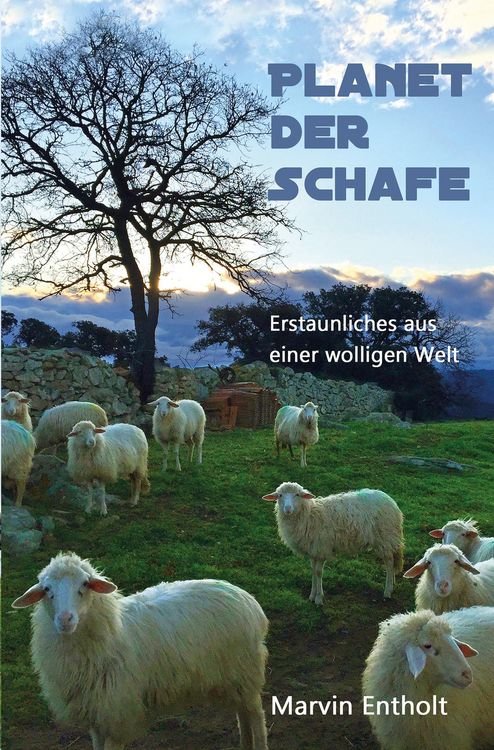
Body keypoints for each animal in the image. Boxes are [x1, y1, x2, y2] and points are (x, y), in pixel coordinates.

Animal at [12, 552, 269, 750]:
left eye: (85, 584)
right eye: (47, 589)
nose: (65, 619)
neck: (112, 634)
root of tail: (247, 598)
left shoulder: (118, 714)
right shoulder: (96, 714)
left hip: (246, 671)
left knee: (256, 715)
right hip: (232, 678)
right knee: (242, 713)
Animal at [262, 481, 404, 605]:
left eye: (297, 494)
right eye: (280, 495)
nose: (288, 509)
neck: (309, 515)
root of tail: (392, 501)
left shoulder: (321, 548)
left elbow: (318, 572)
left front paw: (319, 598)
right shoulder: (313, 550)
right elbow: (313, 570)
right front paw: (312, 595)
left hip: (385, 537)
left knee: (389, 562)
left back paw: (388, 590)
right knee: (392, 561)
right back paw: (392, 585)